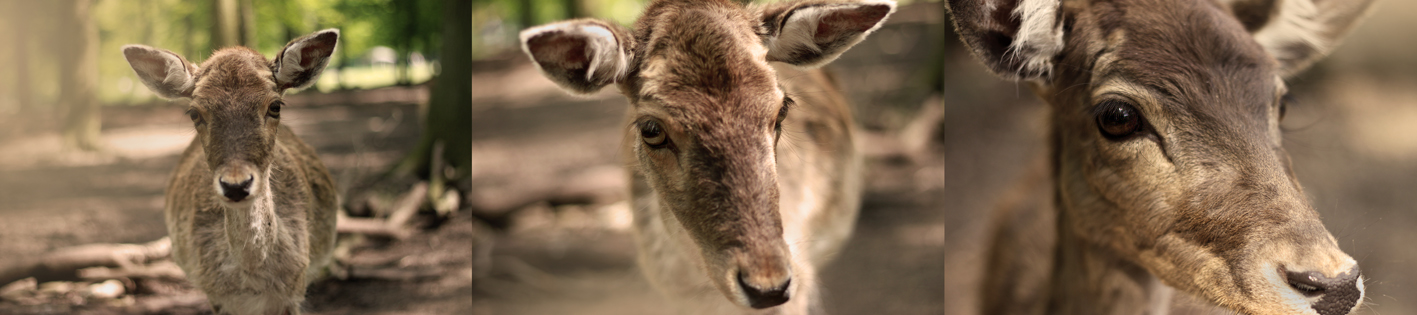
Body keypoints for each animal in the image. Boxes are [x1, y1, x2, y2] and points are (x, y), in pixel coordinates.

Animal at [121, 28, 340, 312]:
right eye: (194, 113)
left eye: (275, 106)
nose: (236, 185)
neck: (251, 281)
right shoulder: (215, 295)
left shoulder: (294, 290)